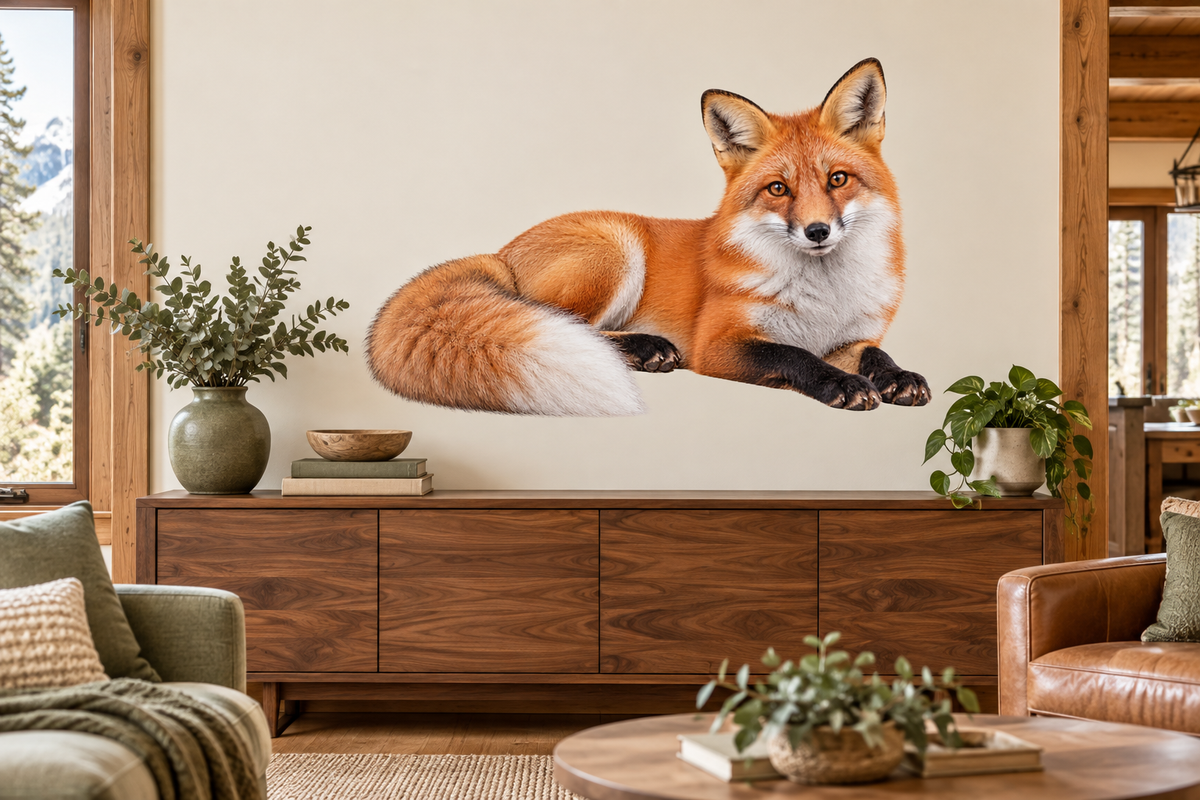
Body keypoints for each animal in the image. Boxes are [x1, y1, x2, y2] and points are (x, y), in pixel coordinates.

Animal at [366, 58, 930, 416]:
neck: (822, 295)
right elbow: (793, 356)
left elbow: (875, 356)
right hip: (614, 256)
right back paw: (644, 348)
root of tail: (500, 252)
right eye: (778, 189)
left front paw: (898, 377)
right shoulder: (717, 345)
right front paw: (841, 385)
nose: (817, 231)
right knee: (568, 324)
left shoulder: (852, 336)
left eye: (838, 179)